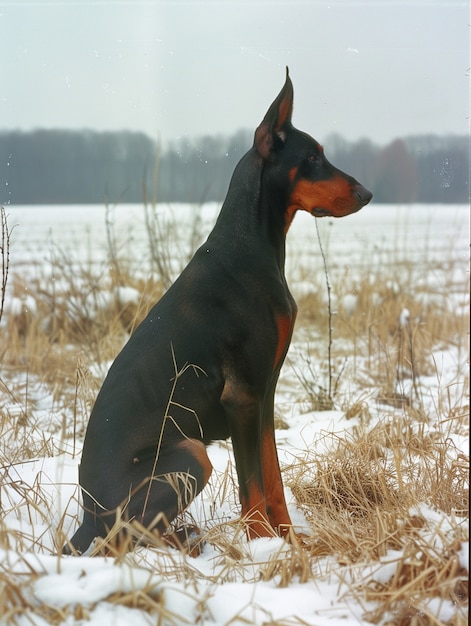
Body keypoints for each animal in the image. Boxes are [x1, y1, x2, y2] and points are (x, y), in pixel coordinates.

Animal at [63, 68, 372, 552]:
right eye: (313, 157)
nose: (368, 193)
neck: (251, 247)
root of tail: (87, 516)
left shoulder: (264, 394)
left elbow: (273, 480)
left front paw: (291, 545)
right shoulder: (243, 397)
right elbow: (254, 489)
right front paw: (262, 549)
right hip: (191, 453)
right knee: (121, 540)